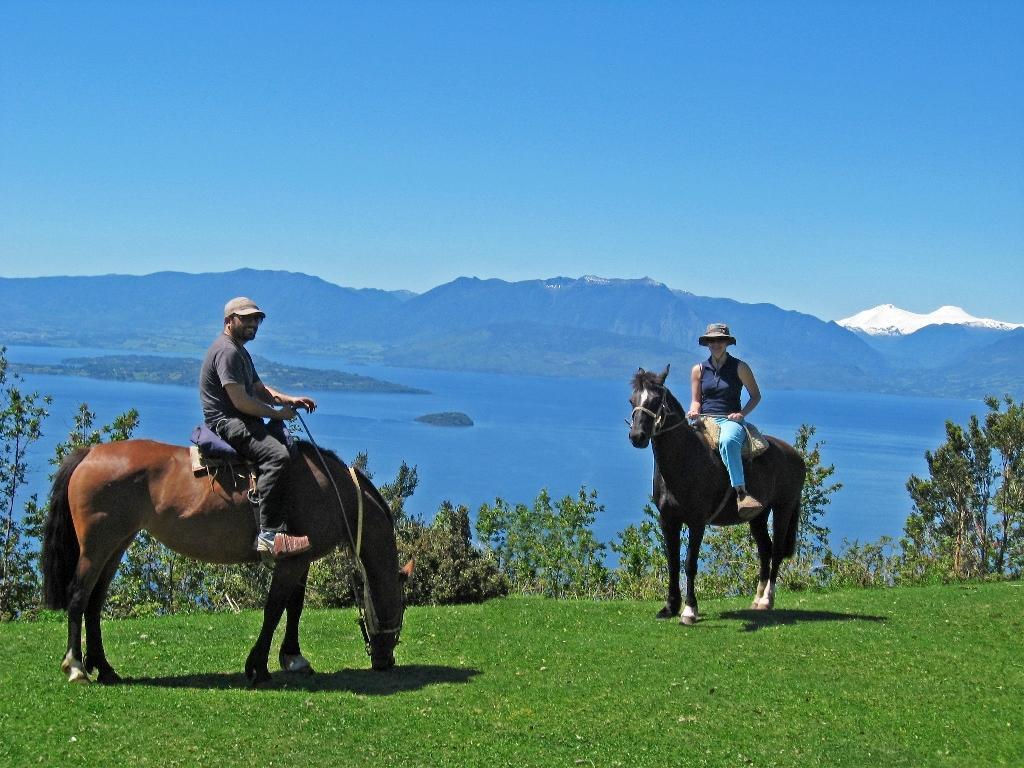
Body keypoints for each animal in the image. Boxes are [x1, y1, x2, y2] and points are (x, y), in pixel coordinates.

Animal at [44, 438, 411, 684]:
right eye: (401, 609)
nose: (386, 660)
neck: (333, 491)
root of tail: (91, 453)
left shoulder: (300, 558)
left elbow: (294, 607)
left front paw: (293, 657)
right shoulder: (291, 561)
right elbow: (274, 608)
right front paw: (258, 666)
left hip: (116, 543)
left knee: (94, 603)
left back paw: (104, 668)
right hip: (97, 545)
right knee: (78, 598)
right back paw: (76, 666)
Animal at [626, 366, 802, 626]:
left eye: (656, 400)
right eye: (633, 400)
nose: (637, 436)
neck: (687, 459)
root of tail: (796, 456)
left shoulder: (697, 522)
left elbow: (689, 563)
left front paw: (689, 610)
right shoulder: (668, 521)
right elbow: (672, 562)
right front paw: (669, 607)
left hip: (783, 508)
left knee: (777, 550)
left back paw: (767, 599)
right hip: (758, 516)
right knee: (765, 550)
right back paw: (757, 599)